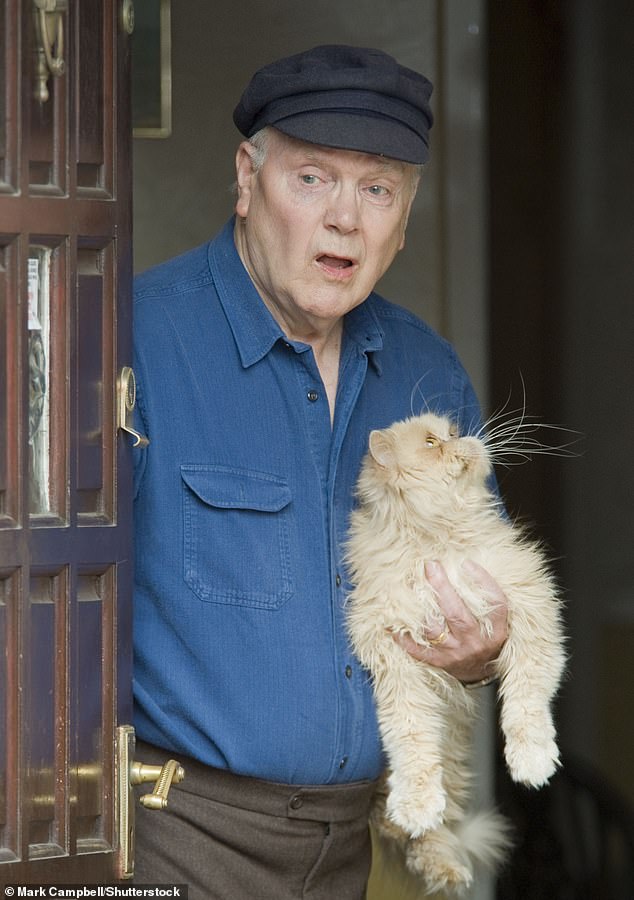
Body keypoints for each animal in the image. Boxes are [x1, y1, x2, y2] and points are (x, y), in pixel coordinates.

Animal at [344, 414, 564, 892]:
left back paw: (447, 866)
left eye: (450, 432)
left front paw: (532, 762)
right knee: (414, 827)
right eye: (431, 442)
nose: (465, 438)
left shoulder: (528, 606)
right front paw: (417, 803)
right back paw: (436, 853)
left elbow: (527, 703)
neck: (438, 538)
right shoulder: (395, 654)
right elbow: (412, 741)